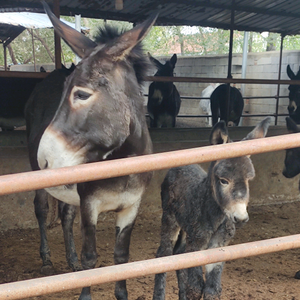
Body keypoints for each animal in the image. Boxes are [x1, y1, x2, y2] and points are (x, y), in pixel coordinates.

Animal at [24, 1, 156, 298]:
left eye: (82, 95)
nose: (44, 159)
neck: (122, 161)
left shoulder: (131, 206)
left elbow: (121, 259)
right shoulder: (90, 205)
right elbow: (91, 259)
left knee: (65, 215)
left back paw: (70, 260)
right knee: (41, 209)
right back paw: (47, 260)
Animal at [154, 118, 270, 300]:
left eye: (248, 180)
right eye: (223, 180)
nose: (241, 218)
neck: (215, 217)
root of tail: (177, 167)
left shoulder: (218, 247)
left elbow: (212, 290)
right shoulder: (196, 244)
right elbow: (195, 288)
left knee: (179, 255)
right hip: (170, 219)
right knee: (163, 256)